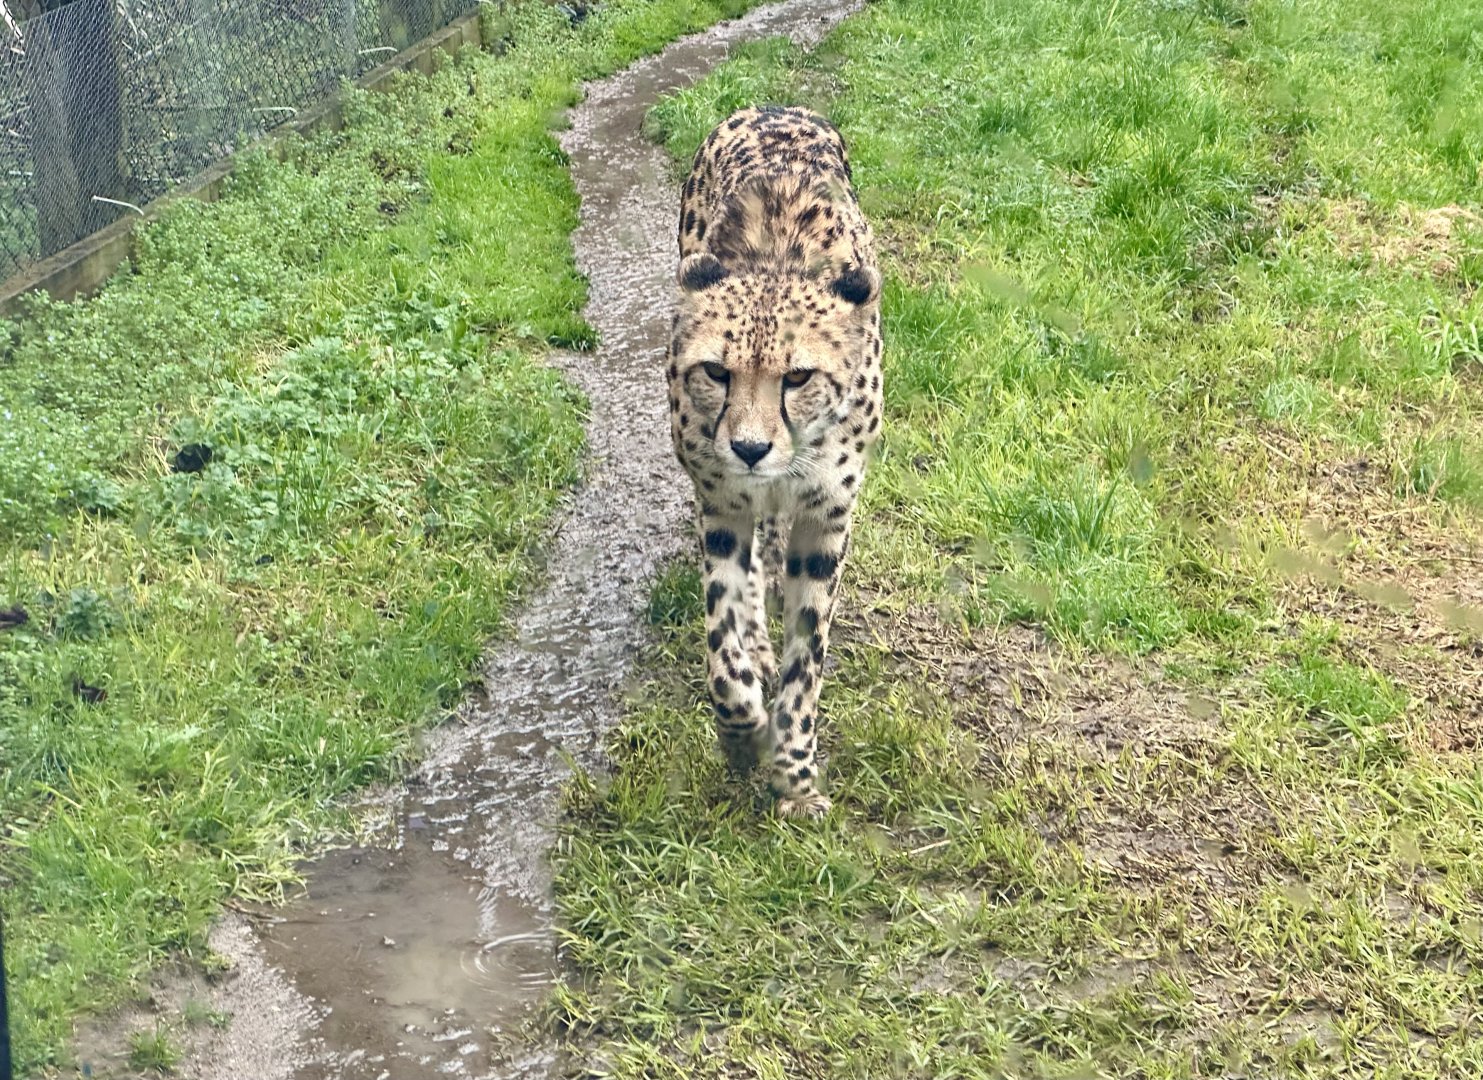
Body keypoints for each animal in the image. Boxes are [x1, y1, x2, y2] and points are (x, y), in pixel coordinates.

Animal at [664, 105, 884, 819]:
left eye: (798, 377)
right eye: (715, 372)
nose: (750, 448)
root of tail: (770, 108)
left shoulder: (827, 517)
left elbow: (806, 661)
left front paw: (795, 776)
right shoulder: (721, 503)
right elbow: (721, 638)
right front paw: (741, 734)